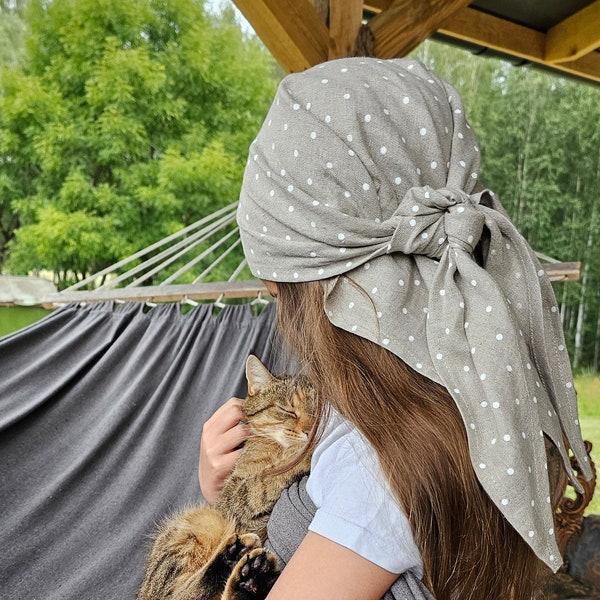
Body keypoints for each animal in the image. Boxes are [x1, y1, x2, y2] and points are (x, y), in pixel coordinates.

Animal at [135, 356, 314, 600]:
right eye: (287, 409)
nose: (311, 430)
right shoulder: (232, 500)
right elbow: (262, 481)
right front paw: (303, 451)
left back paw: (249, 579)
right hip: (200, 523)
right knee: (179, 594)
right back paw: (235, 559)